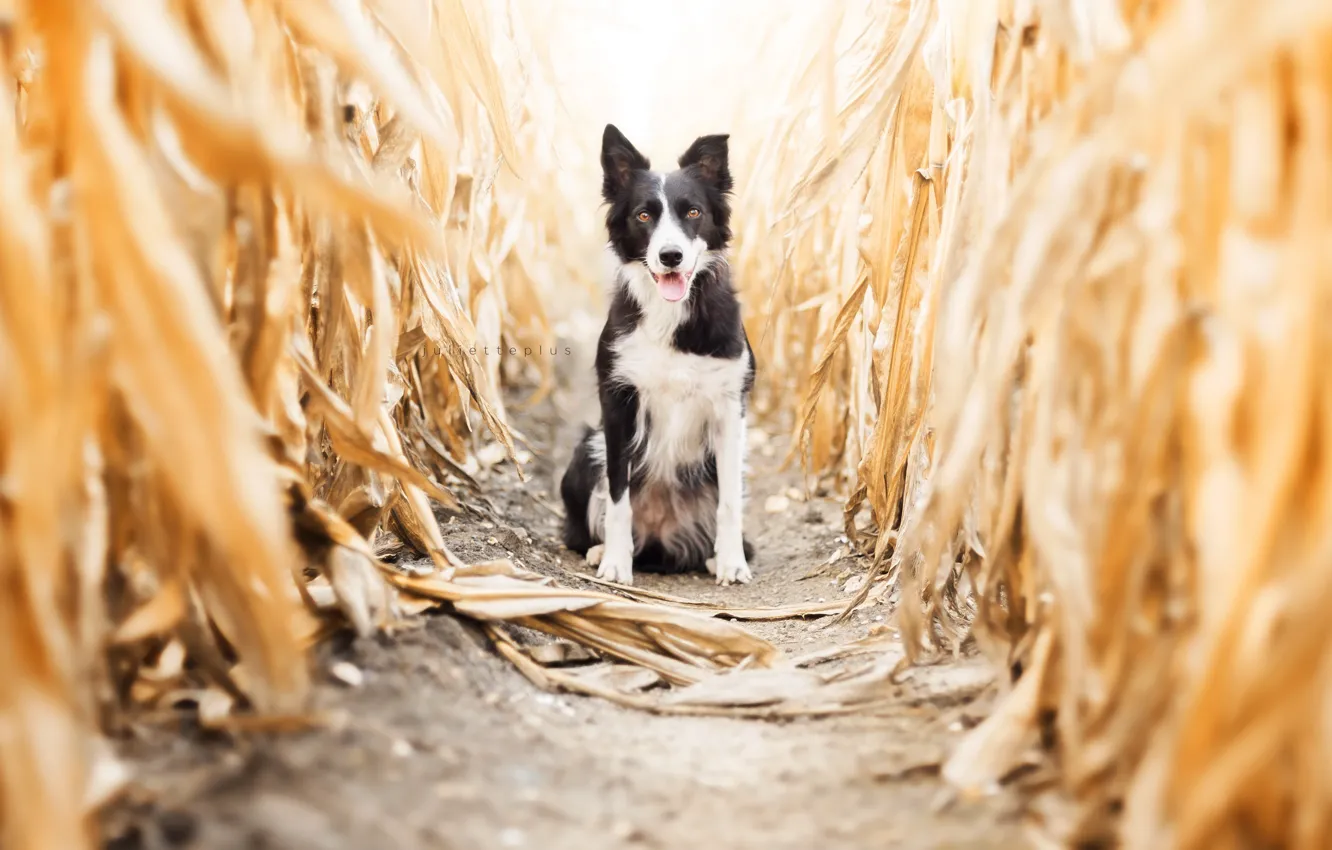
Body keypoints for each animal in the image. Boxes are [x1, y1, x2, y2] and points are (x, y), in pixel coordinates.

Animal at [556, 126, 756, 588]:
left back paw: (713, 556)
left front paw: (732, 562)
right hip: (586, 448)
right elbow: (618, 496)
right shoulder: (617, 402)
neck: (670, 314)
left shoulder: (730, 408)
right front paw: (615, 561)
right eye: (644, 216)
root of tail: (661, 538)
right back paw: (600, 550)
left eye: (694, 212)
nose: (670, 256)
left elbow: (730, 503)